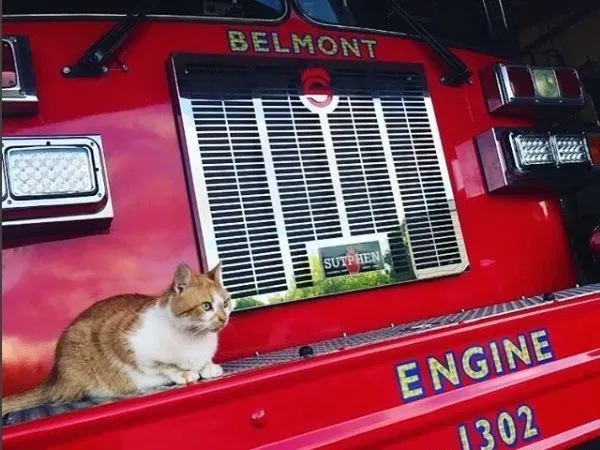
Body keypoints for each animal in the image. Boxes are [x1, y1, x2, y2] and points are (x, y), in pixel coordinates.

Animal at [1, 262, 232, 416]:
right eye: (207, 306)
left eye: (226, 303)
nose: (224, 318)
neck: (195, 338)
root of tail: (54, 376)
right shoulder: (122, 340)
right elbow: (164, 366)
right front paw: (183, 372)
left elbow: (203, 362)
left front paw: (208, 366)